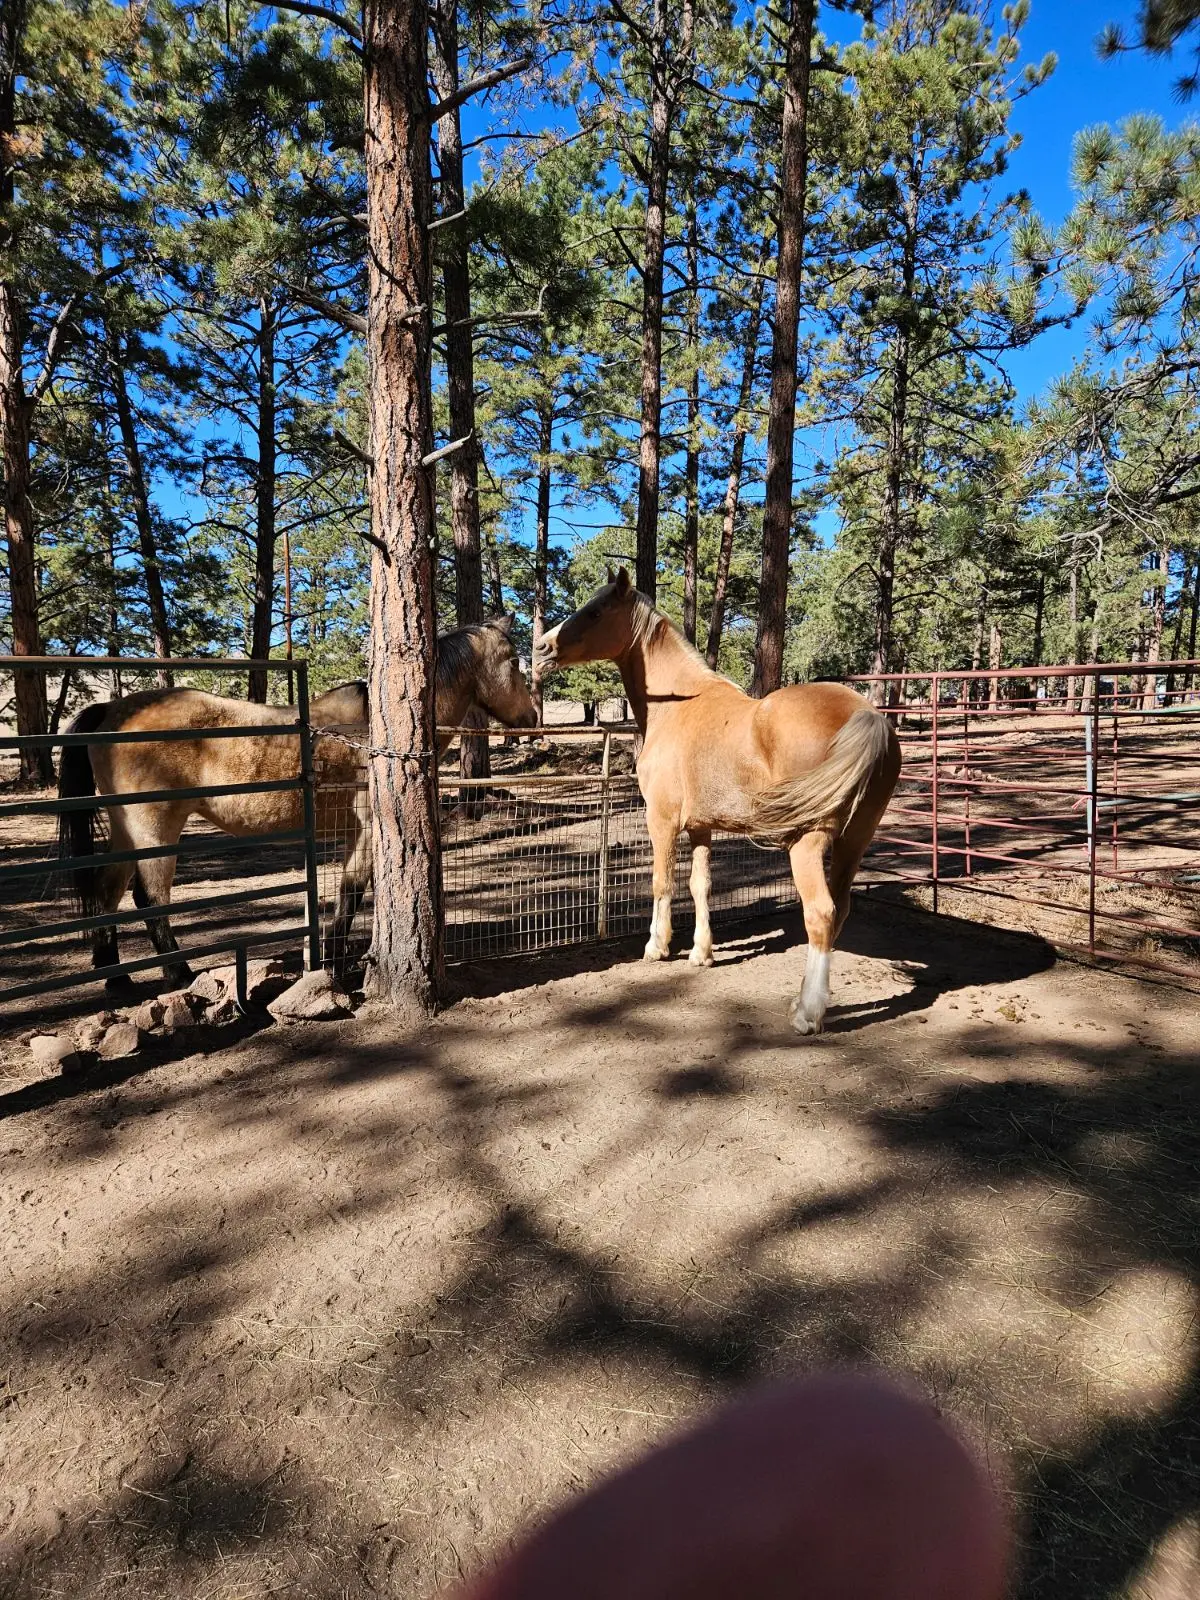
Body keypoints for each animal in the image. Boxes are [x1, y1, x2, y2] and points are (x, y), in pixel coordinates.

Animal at [58, 615, 538, 990]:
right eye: (515, 662)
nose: (532, 718)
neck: (375, 737)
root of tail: (111, 712)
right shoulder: (368, 829)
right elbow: (351, 892)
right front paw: (336, 963)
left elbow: (348, 892)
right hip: (156, 831)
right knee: (150, 898)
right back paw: (179, 975)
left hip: (127, 831)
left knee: (107, 890)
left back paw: (115, 976)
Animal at [535, 570, 901, 1035]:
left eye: (596, 611)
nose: (542, 648)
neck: (679, 705)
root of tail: (866, 715)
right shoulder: (701, 827)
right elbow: (700, 884)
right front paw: (701, 954)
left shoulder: (661, 820)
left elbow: (662, 882)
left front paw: (657, 946)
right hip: (855, 841)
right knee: (840, 909)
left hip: (809, 842)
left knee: (820, 912)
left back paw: (806, 1013)